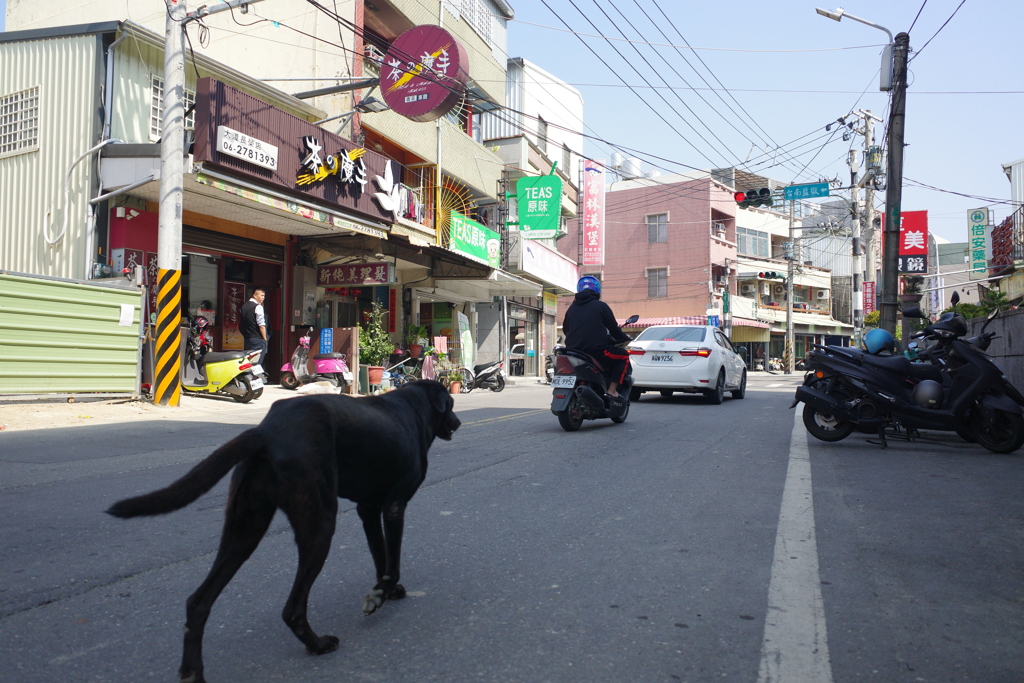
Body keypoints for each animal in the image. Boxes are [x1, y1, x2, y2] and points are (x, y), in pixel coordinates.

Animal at [107, 382, 456, 679]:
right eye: (451, 404)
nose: (457, 423)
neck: (413, 406)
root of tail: (266, 432)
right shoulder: (394, 507)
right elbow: (392, 562)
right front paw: (382, 594)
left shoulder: (368, 510)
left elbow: (380, 557)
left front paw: (384, 592)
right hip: (319, 524)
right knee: (292, 609)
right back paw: (318, 645)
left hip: (244, 529)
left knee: (198, 602)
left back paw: (193, 671)